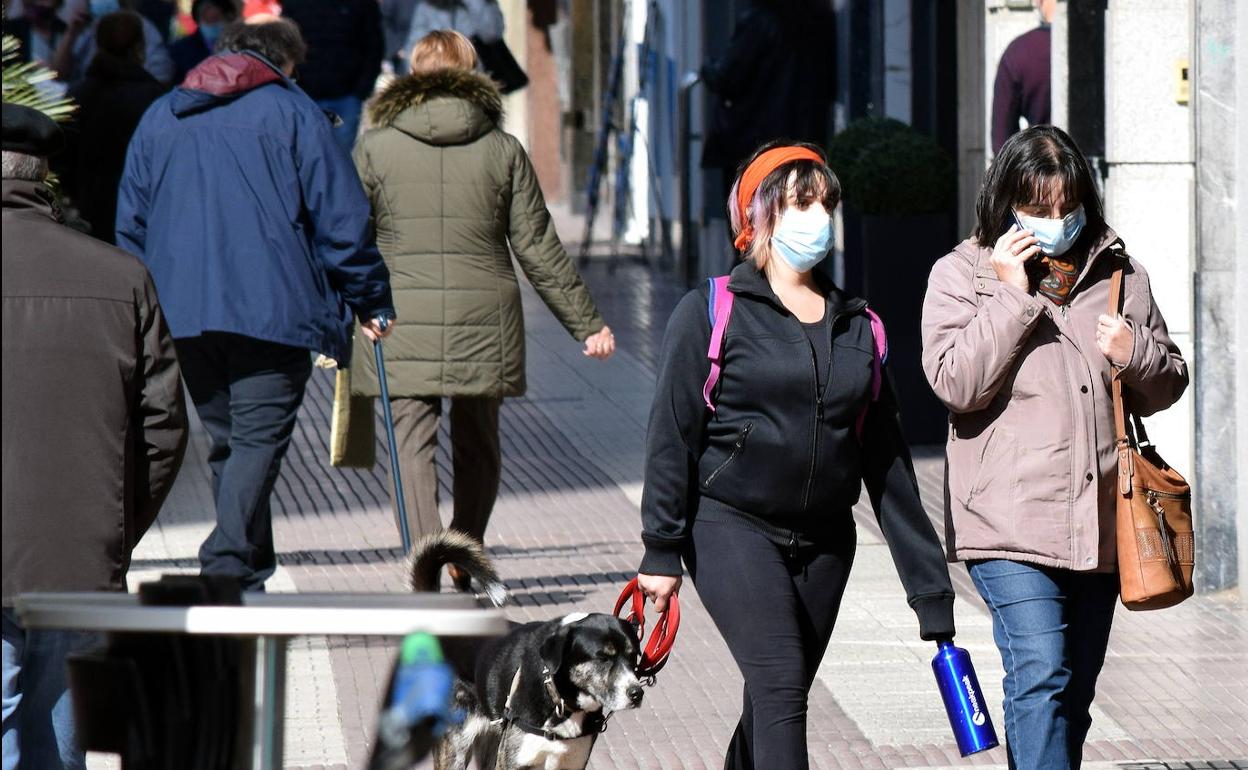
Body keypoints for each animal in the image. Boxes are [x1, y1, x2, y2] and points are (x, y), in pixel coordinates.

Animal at [409, 529, 648, 768]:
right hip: (456, 745)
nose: (637, 694)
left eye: (633, 657)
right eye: (603, 658)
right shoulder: (513, 762)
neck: (560, 701)